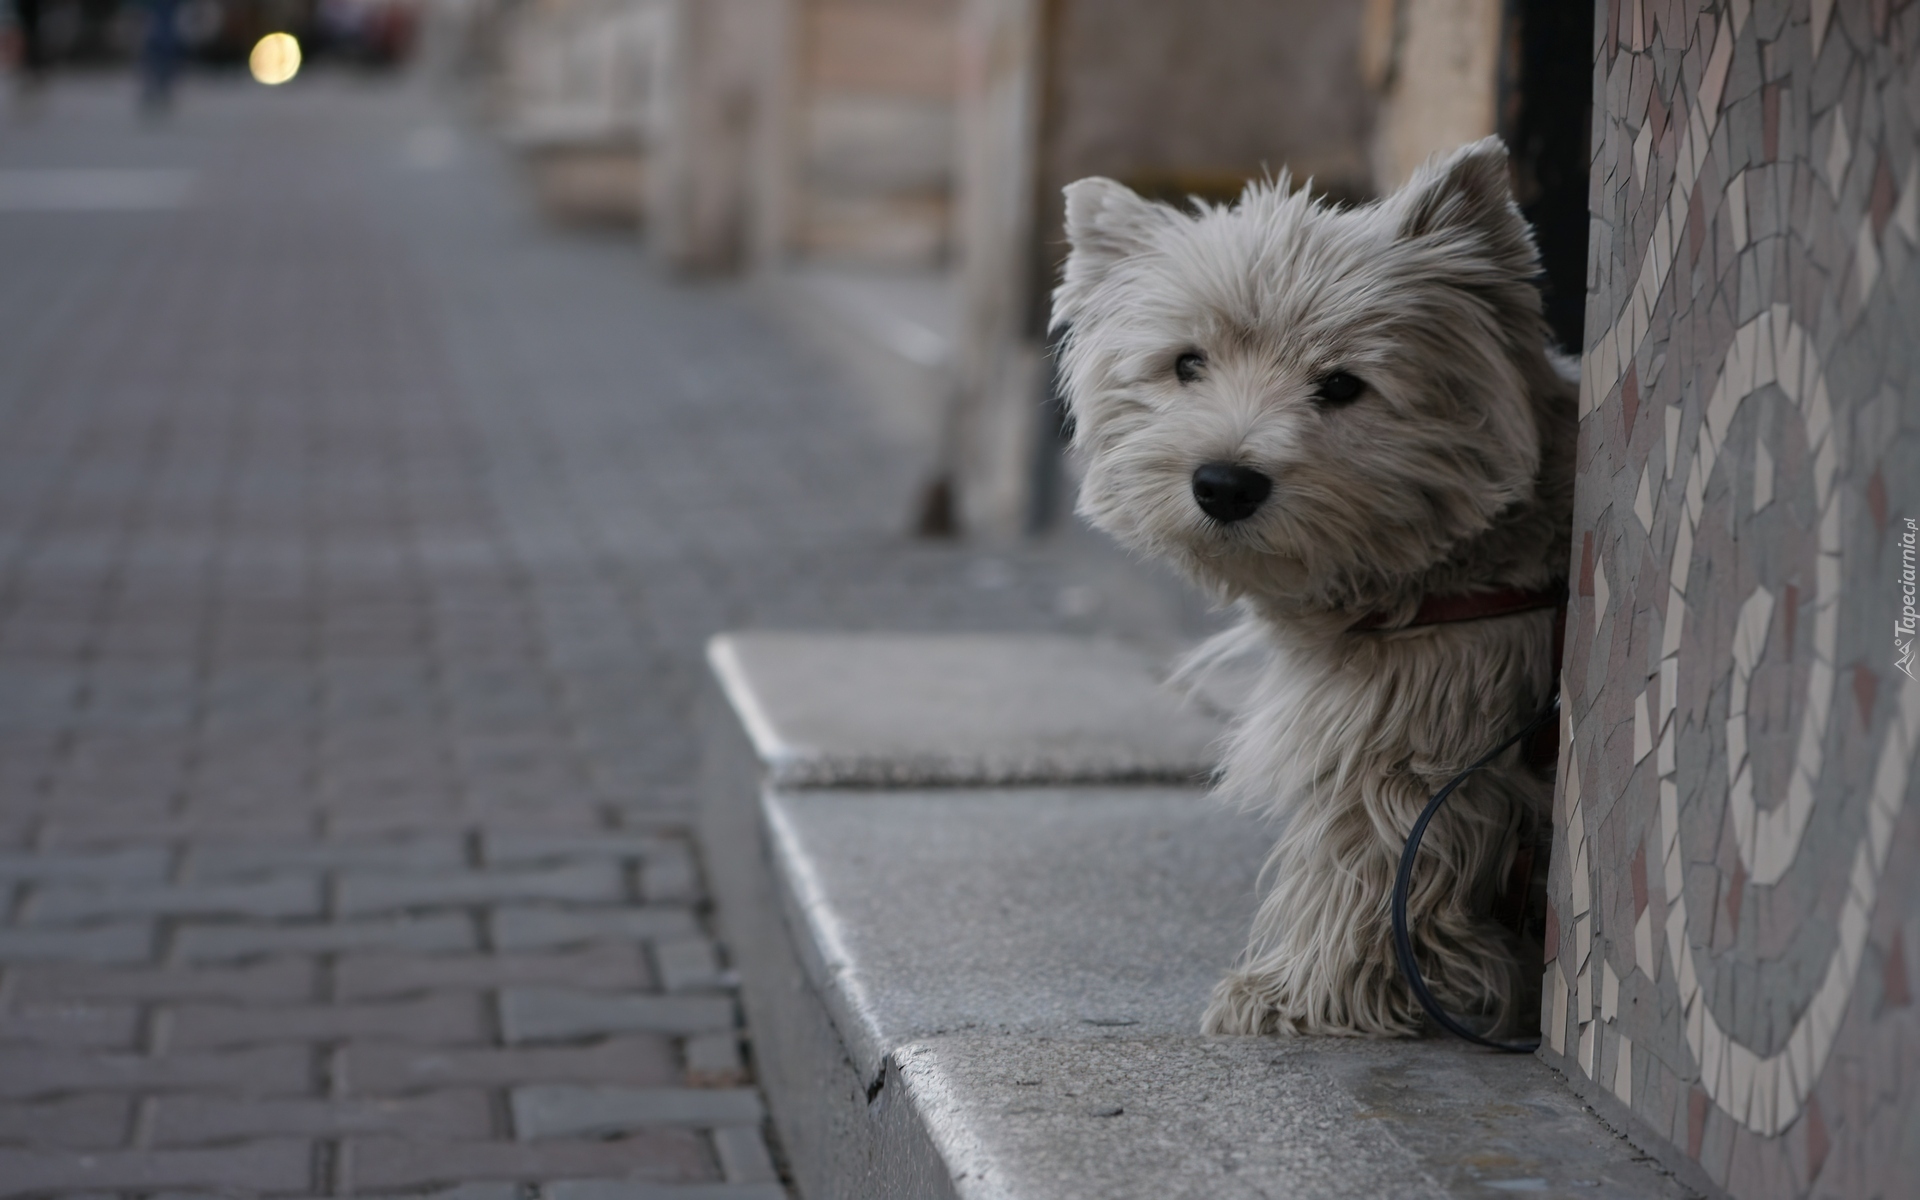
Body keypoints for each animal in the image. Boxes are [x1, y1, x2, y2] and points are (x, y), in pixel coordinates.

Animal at [1052, 138, 1574, 1036]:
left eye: (1341, 384)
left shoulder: (1408, 732)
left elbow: (1368, 861)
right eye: (1186, 364)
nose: (1224, 483)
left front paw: (1297, 994)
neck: (1463, 568)